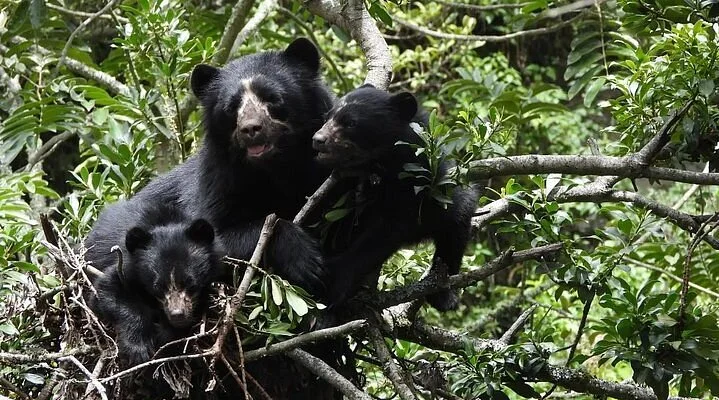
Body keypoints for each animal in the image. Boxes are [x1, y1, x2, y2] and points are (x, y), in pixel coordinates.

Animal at [86, 202, 222, 366]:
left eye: (191, 284)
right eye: (158, 287)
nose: (177, 314)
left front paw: (164, 336)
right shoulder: (124, 265)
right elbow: (106, 292)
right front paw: (137, 350)